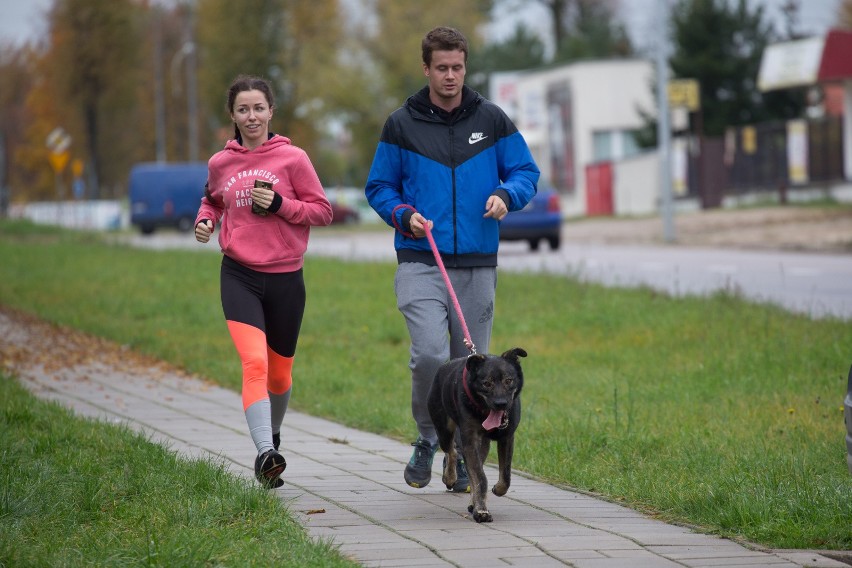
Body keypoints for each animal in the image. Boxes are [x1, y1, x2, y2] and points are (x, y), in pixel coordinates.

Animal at [426, 346, 524, 524]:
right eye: (487, 383)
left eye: (509, 380)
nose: (501, 404)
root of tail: (444, 366)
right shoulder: (471, 441)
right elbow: (480, 477)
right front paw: (481, 511)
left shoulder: (507, 438)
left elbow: (505, 474)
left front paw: (497, 490)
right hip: (443, 429)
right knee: (452, 451)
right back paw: (450, 477)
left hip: (482, 445)